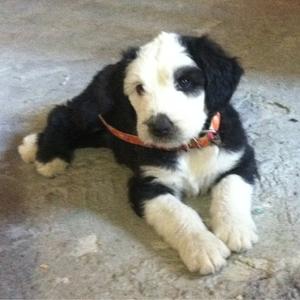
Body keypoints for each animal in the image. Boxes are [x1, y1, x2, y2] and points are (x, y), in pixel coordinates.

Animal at [18, 32, 258, 274]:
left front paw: (235, 229)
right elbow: (178, 213)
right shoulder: (146, 184)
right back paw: (46, 155)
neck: (188, 148)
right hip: (95, 106)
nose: (159, 127)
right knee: (62, 114)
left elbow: (230, 188)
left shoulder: (240, 157)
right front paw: (203, 247)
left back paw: (32, 145)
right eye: (140, 88)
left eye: (185, 82)